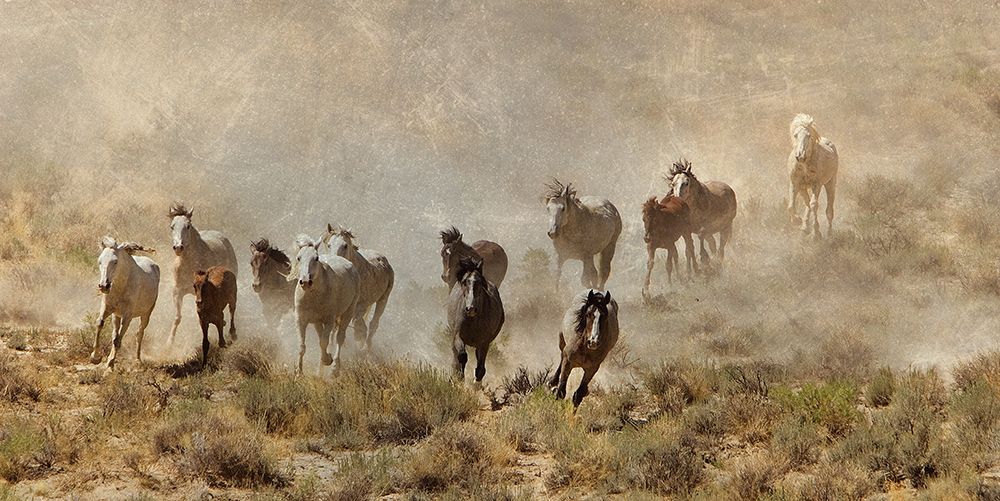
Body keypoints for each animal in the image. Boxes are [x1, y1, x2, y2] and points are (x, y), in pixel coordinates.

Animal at [92, 237, 160, 369]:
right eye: (99, 261)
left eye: (115, 261)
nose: (104, 286)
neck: (121, 286)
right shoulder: (107, 308)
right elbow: (100, 323)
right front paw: (95, 357)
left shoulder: (127, 316)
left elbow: (118, 340)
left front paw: (110, 364)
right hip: (116, 316)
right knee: (115, 334)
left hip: (146, 313)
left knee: (139, 333)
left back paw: (138, 360)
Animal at [167, 203, 238, 343]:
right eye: (172, 226)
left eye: (188, 226)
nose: (178, 247)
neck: (189, 264)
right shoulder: (177, 291)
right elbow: (178, 317)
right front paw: (169, 343)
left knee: (232, 308)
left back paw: (232, 333)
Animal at [291, 235, 360, 373]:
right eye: (299, 258)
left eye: (316, 258)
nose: (305, 282)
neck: (312, 295)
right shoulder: (300, 319)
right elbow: (302, 345)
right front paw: (298, 372)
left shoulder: (329, 320)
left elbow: (324, 342)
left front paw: (328, 360)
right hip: (317, 321)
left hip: (348, 312)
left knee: (339, 337)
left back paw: (335, 369)